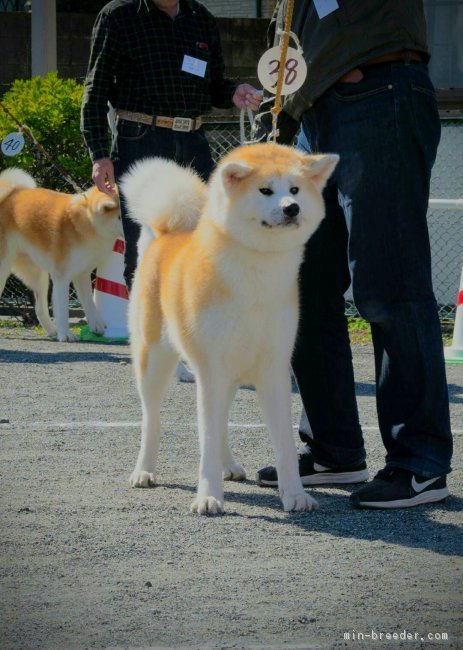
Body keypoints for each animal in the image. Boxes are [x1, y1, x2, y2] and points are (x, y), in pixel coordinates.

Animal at [0, 167, 121, 342]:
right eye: (120, 217)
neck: (86, 223)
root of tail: (7, 196)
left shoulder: (82, 274)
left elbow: (89, 302)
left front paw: (96, 325)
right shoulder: (62, 277)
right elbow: (63, 310)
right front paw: (66, 334)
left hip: (39, 275)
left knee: (39, 308)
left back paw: (52, 331)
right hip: (4, 269)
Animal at [121, 143, 338, 516]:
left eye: (295, 189)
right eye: (265, 190)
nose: (291, 207)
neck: (258, 273)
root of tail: (166, 234)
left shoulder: (273, 370)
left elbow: (282, 443)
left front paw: (295, 495)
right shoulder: (212, 369)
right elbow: (204, 438)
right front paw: (208, 496)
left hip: (230, 374)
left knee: (221, 420)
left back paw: (229, 465)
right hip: (155, 361)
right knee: (152, 420)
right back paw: (144, 471)